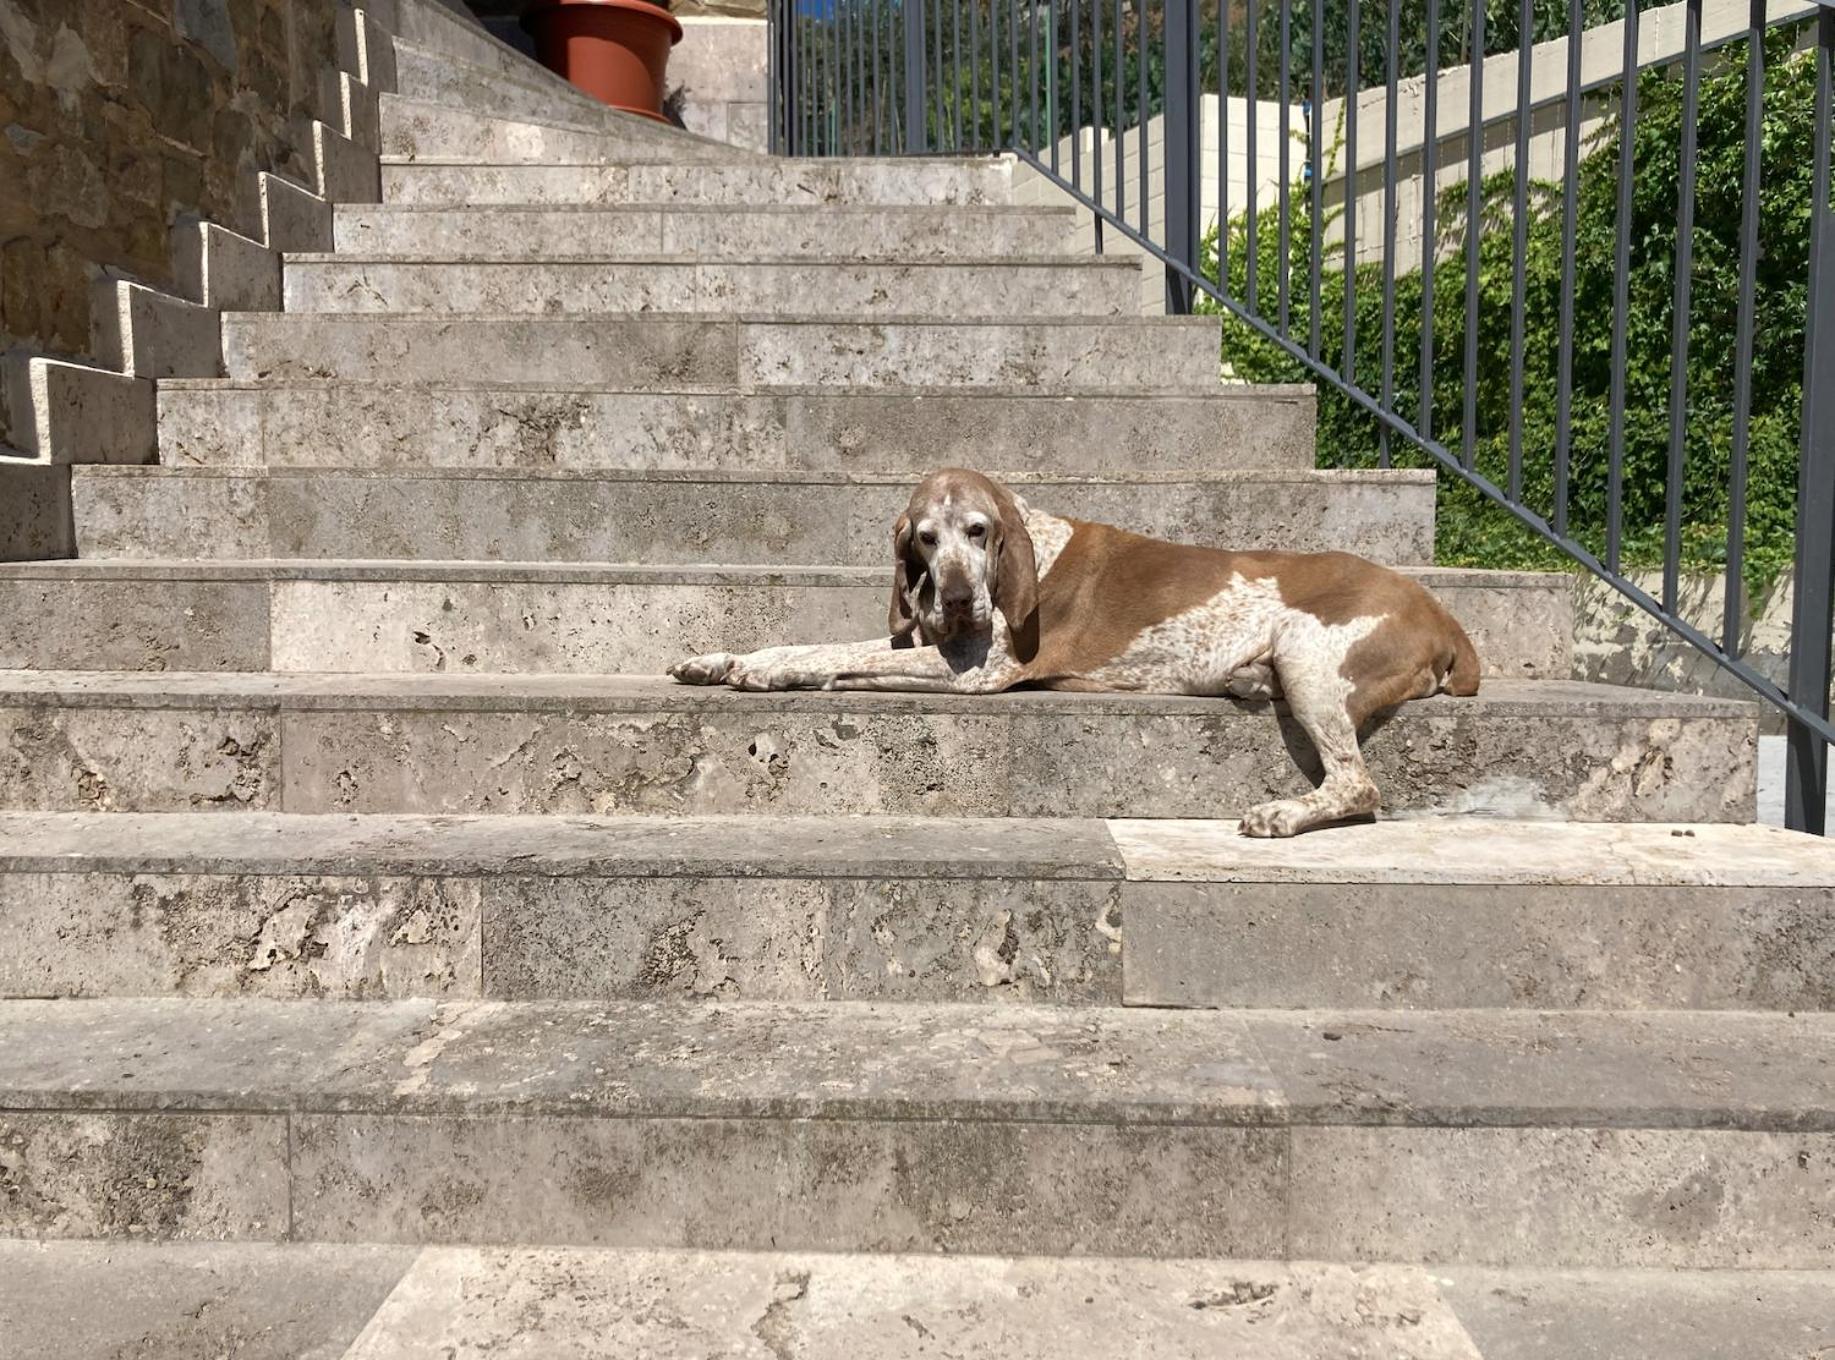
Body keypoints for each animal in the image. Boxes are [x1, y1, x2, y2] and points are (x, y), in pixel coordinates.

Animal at [671, 466, 1475, 833]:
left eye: (978, 532)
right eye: (925, 539)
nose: (956, 599)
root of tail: (1442, 613)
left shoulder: (973, 673)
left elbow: (839, 656)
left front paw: (772, 674)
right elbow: (815, 643)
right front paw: (719, 660)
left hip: (1309, 658)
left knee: (1357, 785)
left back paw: (1282, 813)